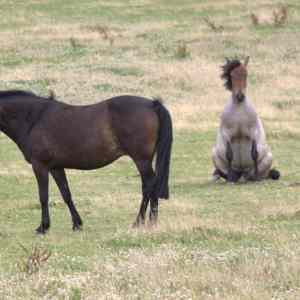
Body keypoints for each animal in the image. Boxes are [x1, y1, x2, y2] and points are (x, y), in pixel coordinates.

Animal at [0, 90, 173, 233]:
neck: (34, 118)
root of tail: (152, 104)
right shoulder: (56, 167)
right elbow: (66, 194)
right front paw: (77, 224)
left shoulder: (40, 166)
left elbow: (43, 197)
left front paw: (43, 227)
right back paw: (151, 222)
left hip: (141, 160)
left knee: (148, 186)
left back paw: (141, 222)